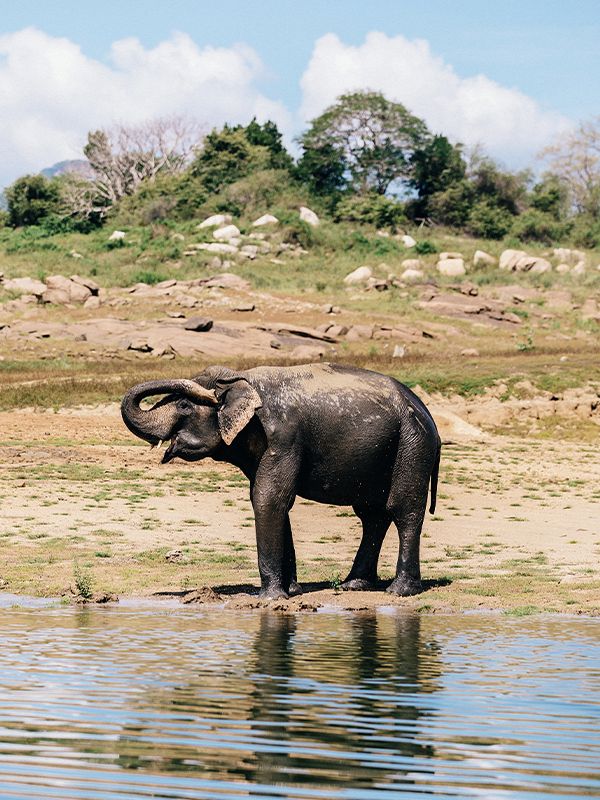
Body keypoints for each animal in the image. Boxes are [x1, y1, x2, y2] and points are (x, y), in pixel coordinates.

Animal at [121, 363, 441, 600]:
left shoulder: (284, 438)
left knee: (403, 511)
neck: (244, 381)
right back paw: (354, 585)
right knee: (372, 516)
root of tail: (428, 415)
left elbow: (269, 498)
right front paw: (292, 591)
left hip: (412, 446)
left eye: (185, 406)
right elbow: (273, 501)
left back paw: (399, 592)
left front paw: (271, 598)